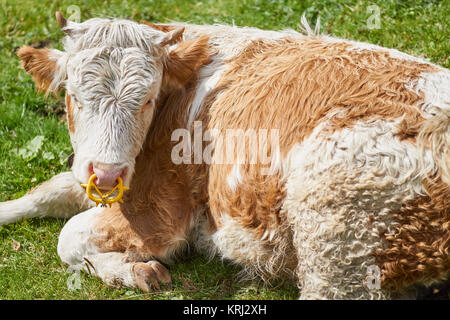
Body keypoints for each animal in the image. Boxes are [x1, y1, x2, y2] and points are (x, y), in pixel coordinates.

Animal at [0, 11, 450, 298]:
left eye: (146, 100)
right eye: (73, 97)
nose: (107, 175)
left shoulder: (161, 210)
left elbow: (69, 236)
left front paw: (134, 270)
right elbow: (49, 191)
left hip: (337, 232)